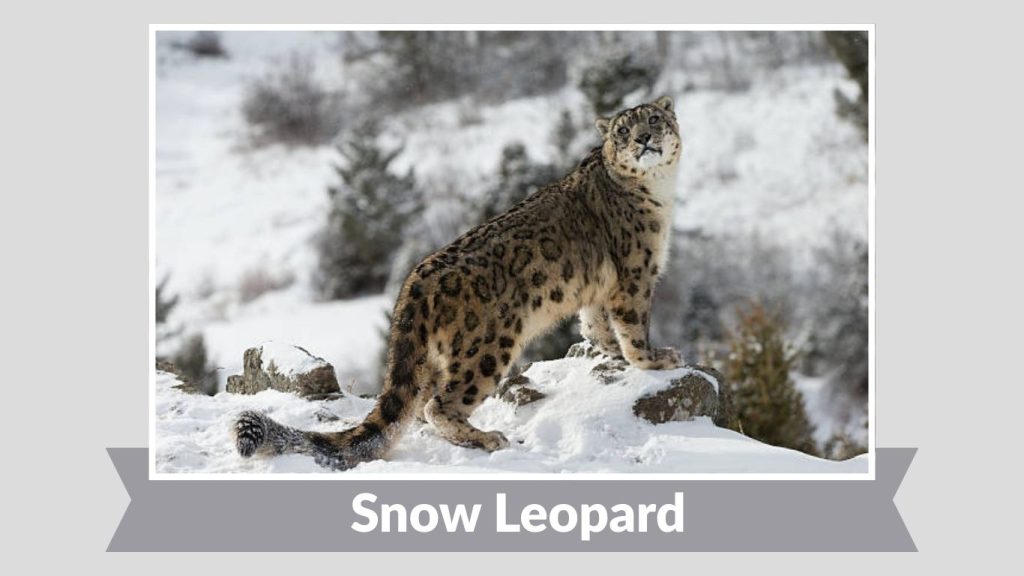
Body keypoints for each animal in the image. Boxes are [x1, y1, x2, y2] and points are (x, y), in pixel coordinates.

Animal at [234, 96, 684, 470]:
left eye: (654, 119)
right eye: (623, 131)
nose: (644, 139)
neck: (659, 193)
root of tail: (415, 281)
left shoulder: (598, 289)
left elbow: (595, 324)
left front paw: (609, 352)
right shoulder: (635, 275)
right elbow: (633, 325)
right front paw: (655, 359)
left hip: (434, 359)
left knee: (416, 405)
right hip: (487, 347)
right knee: (440, 405)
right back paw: (487, 438)